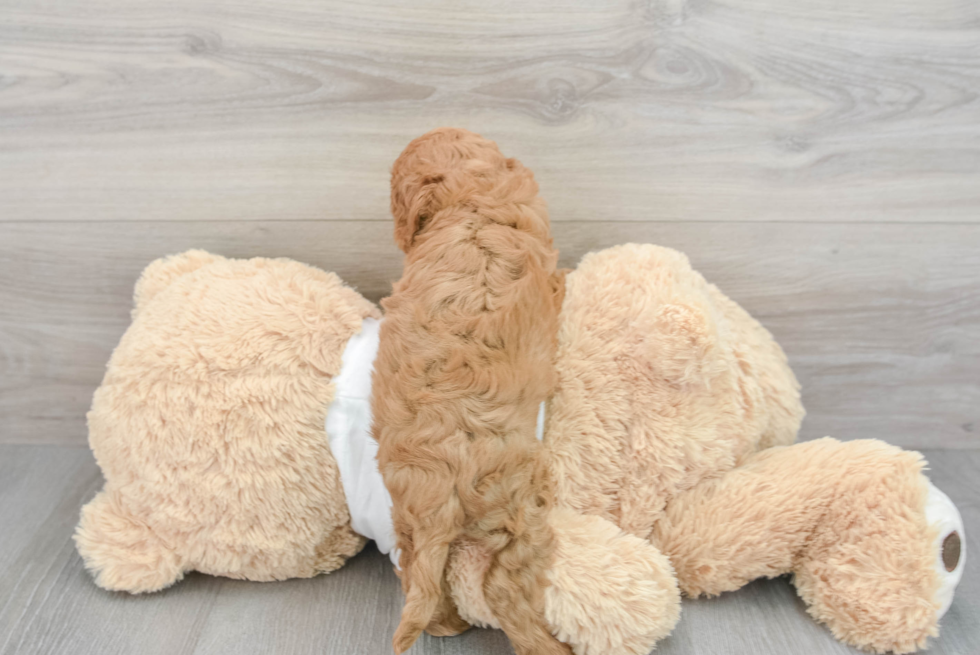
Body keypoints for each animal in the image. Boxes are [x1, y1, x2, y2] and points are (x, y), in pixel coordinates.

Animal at [372, 129, 568, 655]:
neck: (470, 201)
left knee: (419, 579)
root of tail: (440, 496)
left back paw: (447, 624)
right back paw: (549, 646)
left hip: (406, 518)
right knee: (503, 592)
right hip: (521, 514)